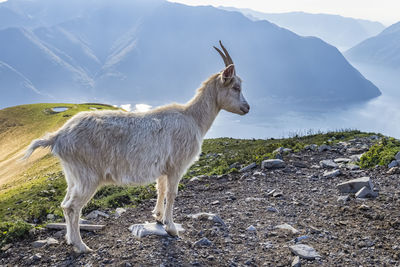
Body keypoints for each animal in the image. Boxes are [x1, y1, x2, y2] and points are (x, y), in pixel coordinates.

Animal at [23, 41, 248, 253]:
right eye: (236, 87)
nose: (247, 108)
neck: (193, 118)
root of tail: (58, 136)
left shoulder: (163, 168)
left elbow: (160, 189)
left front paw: (158, 218)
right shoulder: (176, 166)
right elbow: (172, 193)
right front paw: (171, 228)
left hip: (72, 175)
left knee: (64, 203)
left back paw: (70, 239)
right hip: (88, 175)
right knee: (72, 207)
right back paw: (81, 246)